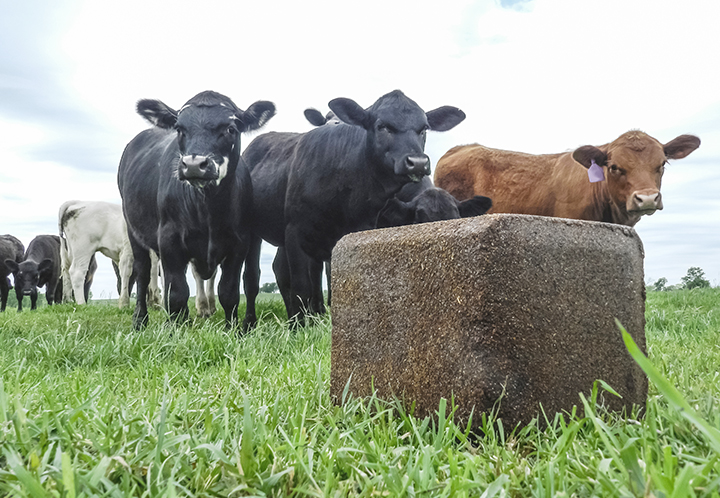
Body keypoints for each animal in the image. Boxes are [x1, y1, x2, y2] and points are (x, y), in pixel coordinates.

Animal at [118, 90, 275, 330]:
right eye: (179, 129)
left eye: (230, 129)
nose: (193, 165)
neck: (207, 209)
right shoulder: (169, 240)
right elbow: (176, 294)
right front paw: (175, 332)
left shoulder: (238, 244)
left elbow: (228, 292)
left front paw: (232, 330)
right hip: (133, 230)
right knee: (143, 272)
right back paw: (140, 320)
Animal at [242, 90, 466, 327]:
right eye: (382, 125)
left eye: (423, 128)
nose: (418, 162)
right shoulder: (296, 231)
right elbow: (302, 286)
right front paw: (300, 327)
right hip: (253, 232)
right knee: (252, 279)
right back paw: (249, 324)